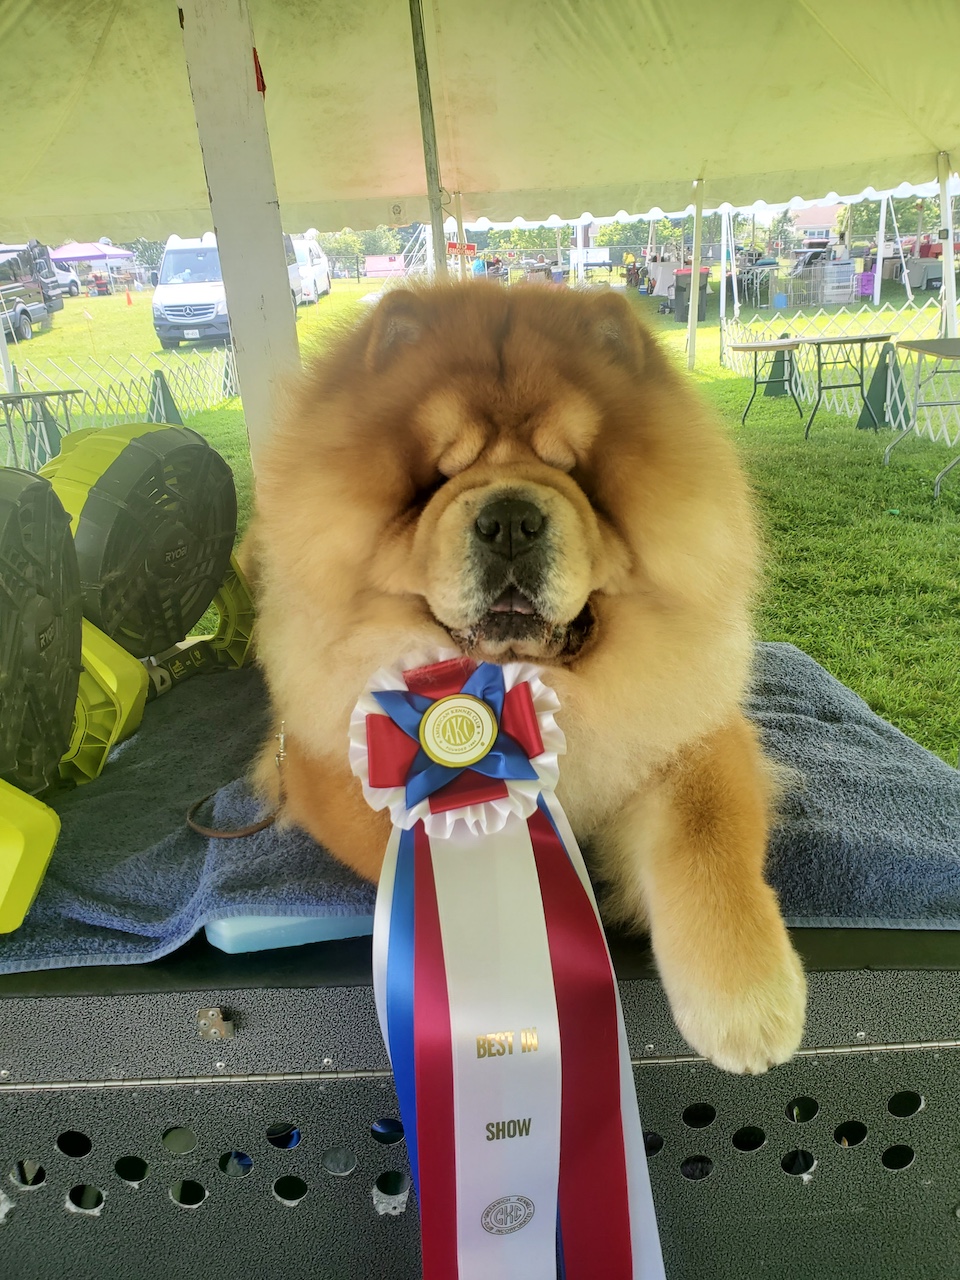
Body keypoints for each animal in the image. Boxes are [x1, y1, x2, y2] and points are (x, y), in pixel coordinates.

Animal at [250, 282, 806, 1074]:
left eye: (573, 471)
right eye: (437, 479)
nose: (510, 518)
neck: (534, 687)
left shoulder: (689, 733)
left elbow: (709, 844)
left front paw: (749, 1011)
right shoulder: (322, 762)